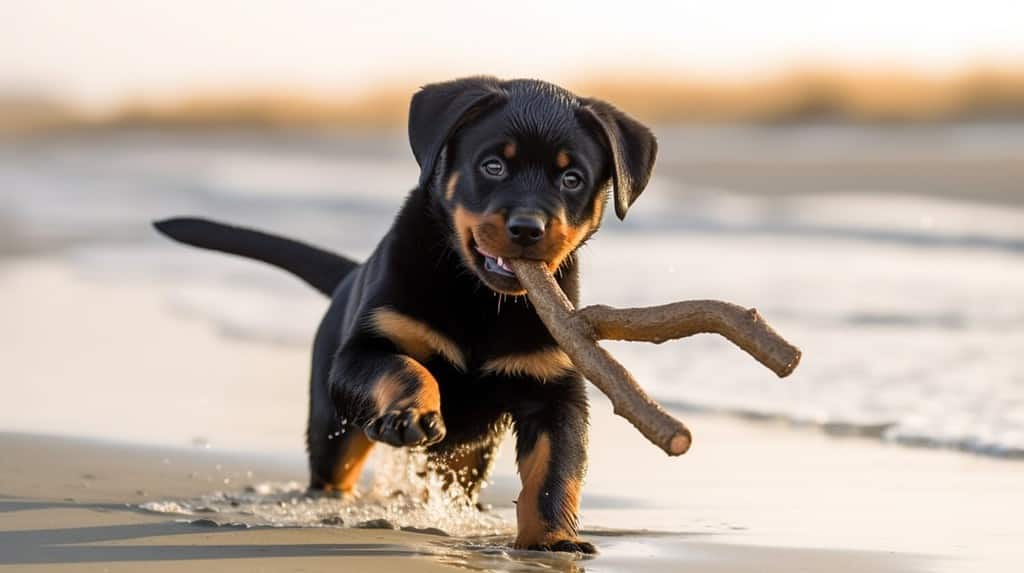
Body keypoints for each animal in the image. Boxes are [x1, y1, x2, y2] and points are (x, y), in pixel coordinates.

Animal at [156, 77, 659, 556]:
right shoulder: (365, 351)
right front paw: (408, 414)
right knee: (335, 469)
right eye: (493, 166)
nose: (527, 229)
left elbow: (555, 474)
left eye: (571, 179)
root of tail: (350, 275)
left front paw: (553, 541)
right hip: (331, 424)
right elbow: (405, 368)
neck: (478, 297)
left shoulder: (553, 389)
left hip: (468, 454)